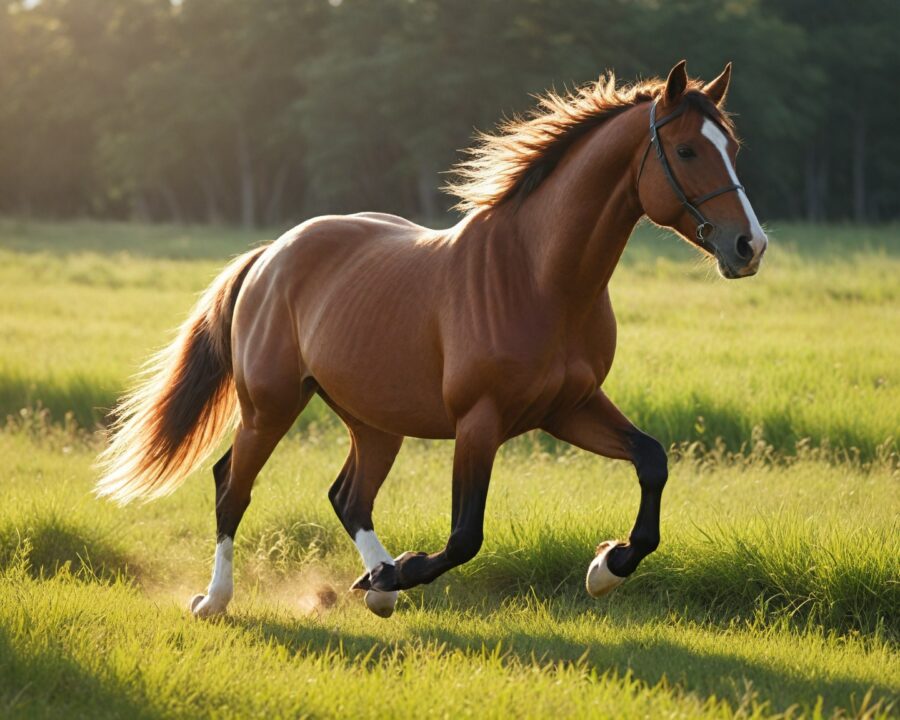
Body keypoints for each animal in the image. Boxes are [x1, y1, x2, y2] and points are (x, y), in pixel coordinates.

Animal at [96, 60, 767, 619]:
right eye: (686, 149)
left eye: (733, 147)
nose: (749, 246)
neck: (539, 278)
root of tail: (270, 255)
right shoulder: (480, 420)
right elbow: (464, 537)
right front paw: (407, 571)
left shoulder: (568, 408)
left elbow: (652, 461)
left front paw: (606, 566)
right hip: (270, 407)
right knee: (232, 488)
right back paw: (217, 600)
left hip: (374, 422)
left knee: (348, 497)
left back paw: (379, 585)